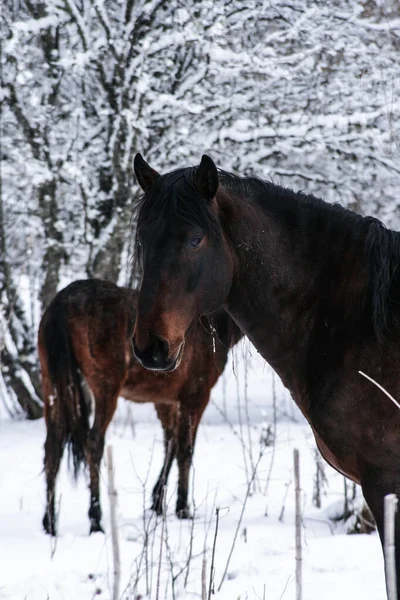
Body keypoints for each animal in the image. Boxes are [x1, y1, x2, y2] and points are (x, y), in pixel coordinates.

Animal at [39, 278, 242, 536]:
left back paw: (49, 523)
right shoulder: (195, 396)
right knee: (93, 443)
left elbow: (170, 445)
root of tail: (62, 303)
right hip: (106, 388)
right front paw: (183, 509)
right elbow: (185, 450)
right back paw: (96, 521)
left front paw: (157, 503)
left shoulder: (165, 400)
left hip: (52, 383)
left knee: (52, 448)